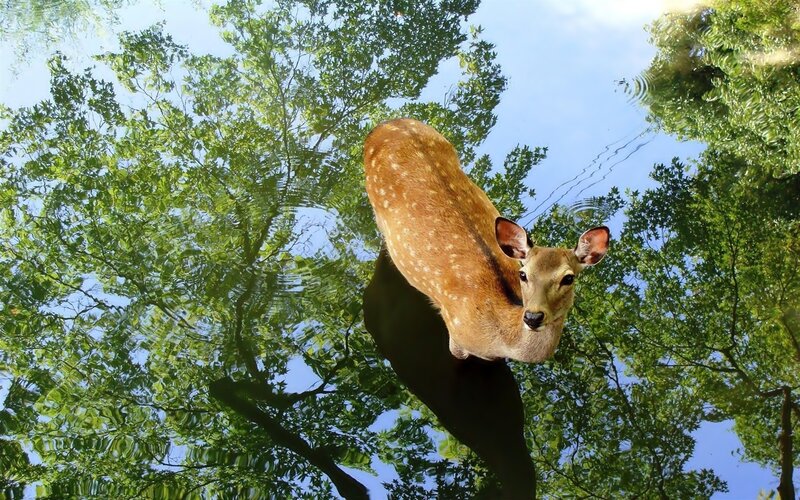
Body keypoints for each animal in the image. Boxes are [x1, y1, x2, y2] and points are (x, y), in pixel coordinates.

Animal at [364, 118, 609, 363]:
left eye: (568, 278)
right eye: (523, 274)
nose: (533, 317)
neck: (499, 340)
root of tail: (386, 124)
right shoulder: (457, 338)